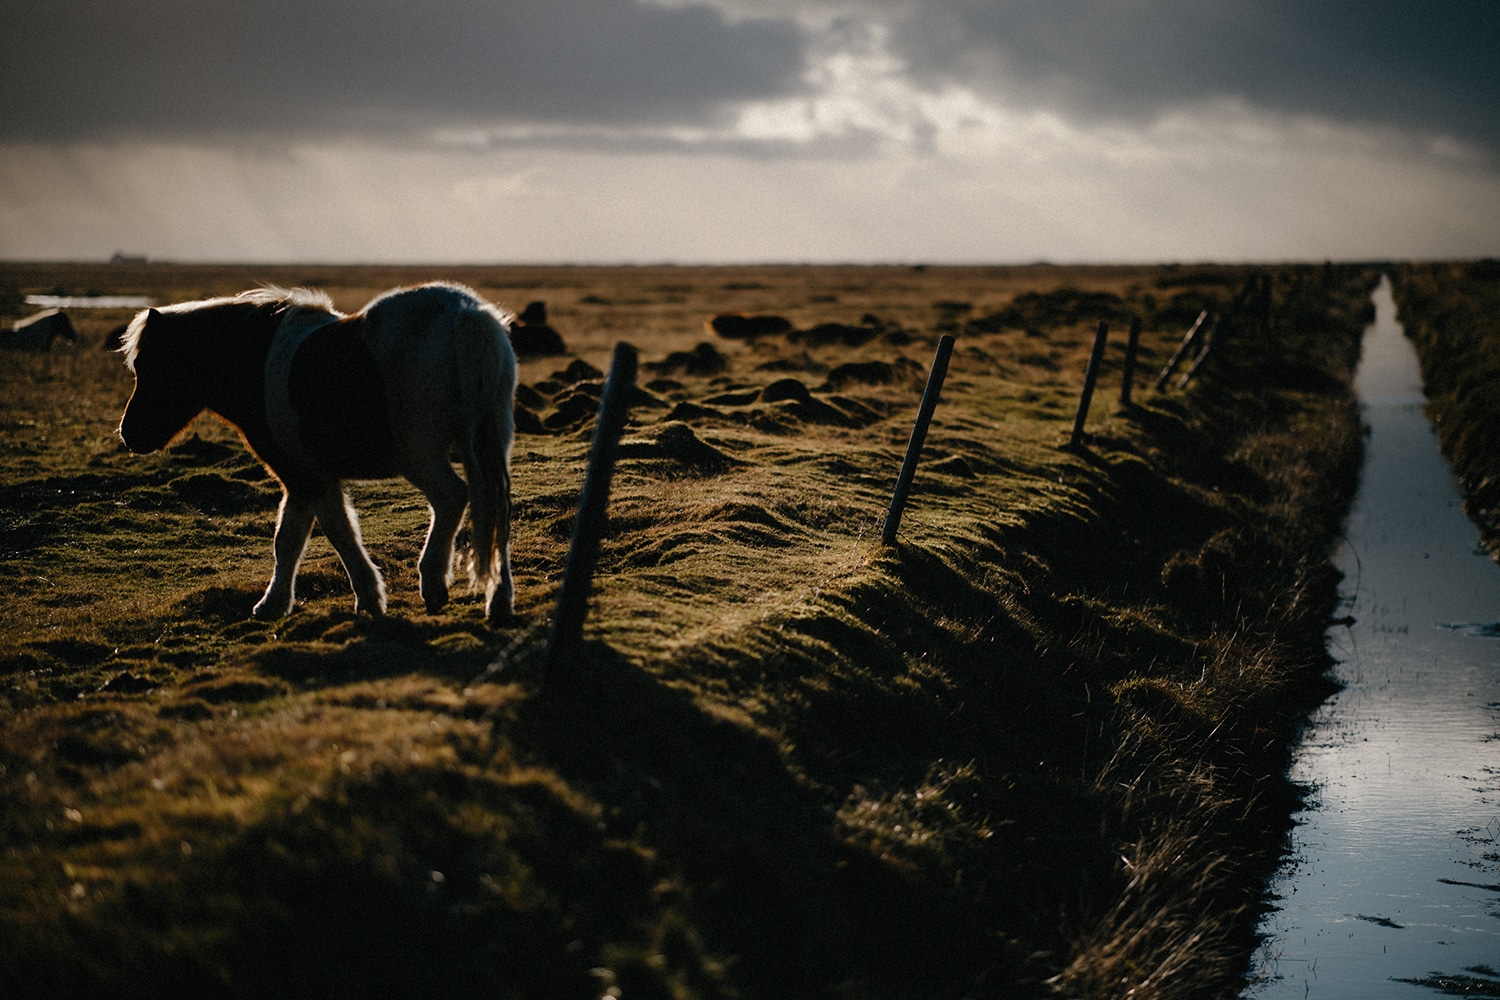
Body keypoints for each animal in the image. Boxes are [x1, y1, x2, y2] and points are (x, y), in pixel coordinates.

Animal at [115, 281, 516, 620]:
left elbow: (332, 533)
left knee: (452, 497)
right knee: (494, 505)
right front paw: (274, 604)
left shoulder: (306, 476)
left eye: (152, 365)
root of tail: (467, 315)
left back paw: (433, 585)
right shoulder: (304, 478)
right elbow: (290, 539)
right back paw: (499, 599)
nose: (129, 434)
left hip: (420, 454)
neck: (256, 361)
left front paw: (368, 598)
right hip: (485, 443)